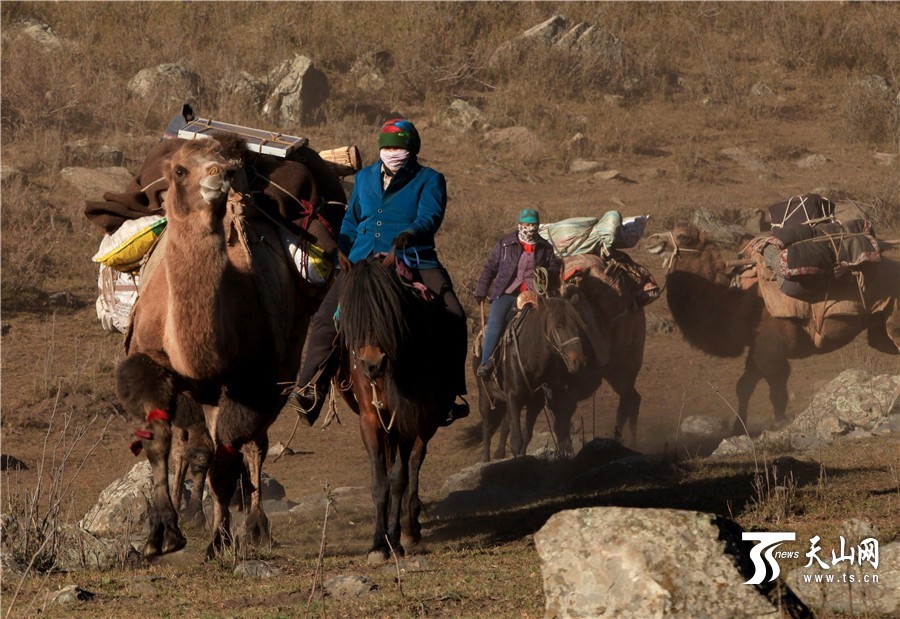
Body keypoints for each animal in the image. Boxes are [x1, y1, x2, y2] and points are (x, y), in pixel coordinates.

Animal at [116, 134, 314, 556]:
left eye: (228, 166)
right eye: (178, 169)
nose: (217, 176)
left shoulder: (248, 378)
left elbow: (228, 456)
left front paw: (221, 540)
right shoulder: (153, 366)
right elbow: (163, 441)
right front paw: (162, 533)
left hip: (283, 362)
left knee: (254, 443)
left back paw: (256, 528)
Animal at [340, 254, 464, 564]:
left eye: (387, 309)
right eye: (352, 312)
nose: (372, 364)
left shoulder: (407, 418)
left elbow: (399, 479)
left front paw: (394, 539)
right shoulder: (371, 419)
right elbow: (379, 482)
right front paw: (378, 544)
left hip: (427, 421)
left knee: (415, 462)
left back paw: (410, 529)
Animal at [644, 224, 896, 436]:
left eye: (684, 236)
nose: (652, 239)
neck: (736, 304)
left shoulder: (772, 346)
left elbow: (776, 385)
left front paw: (780, 422)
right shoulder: (758, 345)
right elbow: (745, 386)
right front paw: (738, 428)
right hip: (879, 328)